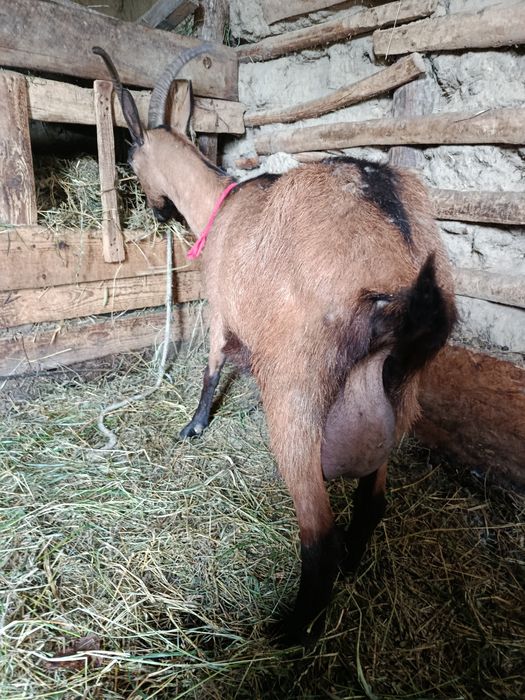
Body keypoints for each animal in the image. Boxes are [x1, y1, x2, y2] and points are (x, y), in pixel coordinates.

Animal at [94, 45, 457, 645]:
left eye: (129, 157)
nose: (156, 209)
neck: (220, 205)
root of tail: (402, 264)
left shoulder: (221, 306)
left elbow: (212, 366)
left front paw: (193, 426)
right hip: (399, 400)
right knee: (372, 503)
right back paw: (353, 566)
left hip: (296, 396)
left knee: (319, 535)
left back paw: (286, 631)